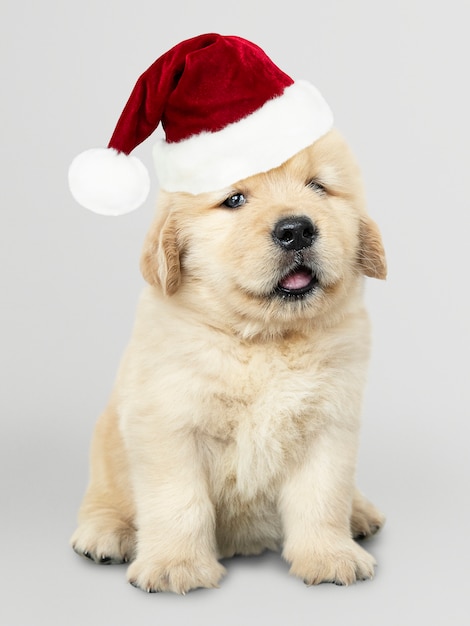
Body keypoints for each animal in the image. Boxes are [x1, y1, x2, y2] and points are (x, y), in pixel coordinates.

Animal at [70, 128, 386, 588]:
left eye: (318, 187)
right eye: (234, 199)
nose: (297, 230)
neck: (262, 339)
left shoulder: (329, 425)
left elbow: (322, 497)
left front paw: (329, 556)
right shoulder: (170, 426)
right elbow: (179, 502)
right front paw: (176, 565)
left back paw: (360, 513)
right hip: (106, 448)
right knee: (103, 498)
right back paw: (106, 532)